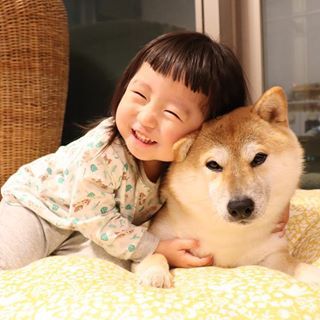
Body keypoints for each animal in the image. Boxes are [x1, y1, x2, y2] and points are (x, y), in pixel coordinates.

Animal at [134, 87, 320, 288]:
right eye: (213, 165)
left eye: (259, 158)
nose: (240, 207)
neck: (228, 236)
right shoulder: (158, 237)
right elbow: (155, 253)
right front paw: (155, 274)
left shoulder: (273, 255)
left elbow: (296, 265)